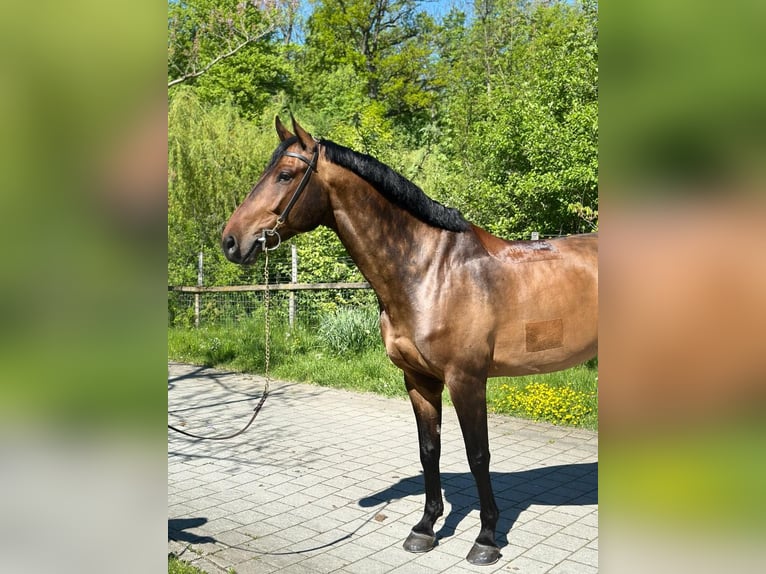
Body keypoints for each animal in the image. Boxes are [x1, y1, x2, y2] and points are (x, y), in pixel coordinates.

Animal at [221, 116, 598, 565]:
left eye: (284, 175)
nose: (231, 241)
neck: (430, 273)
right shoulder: (418, 380)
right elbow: (428, 451)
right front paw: (425, 528)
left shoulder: (467, 380)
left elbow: (478, 455)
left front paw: (486, 539)